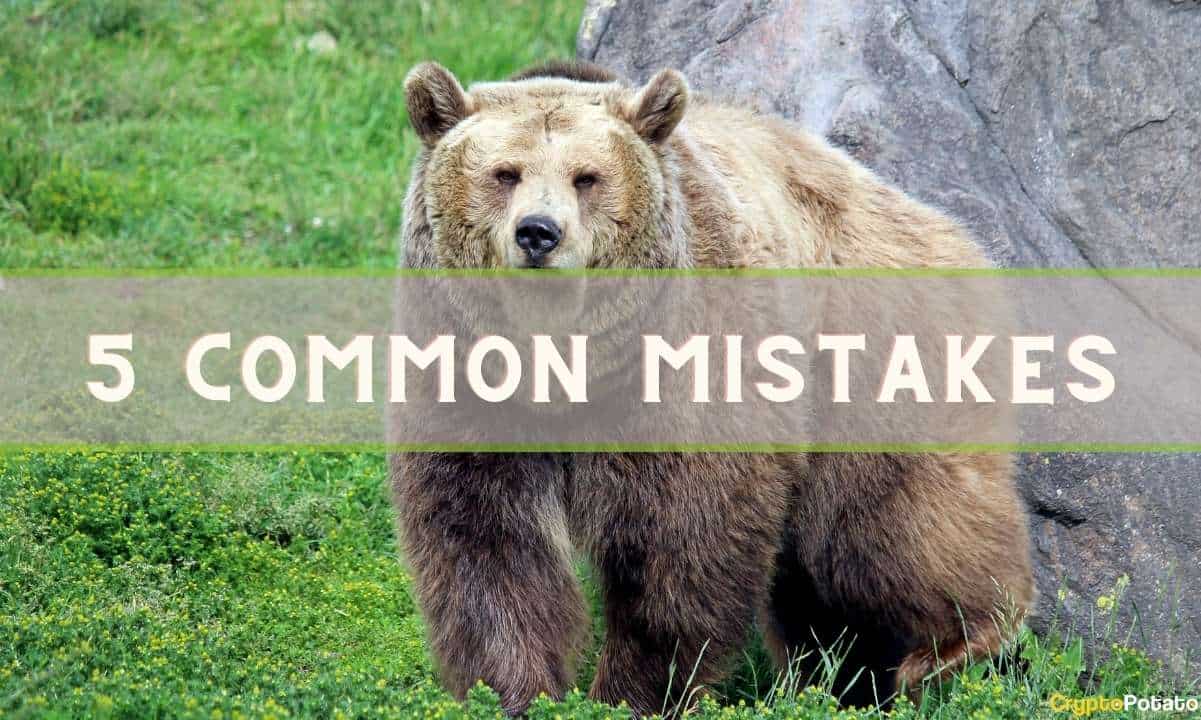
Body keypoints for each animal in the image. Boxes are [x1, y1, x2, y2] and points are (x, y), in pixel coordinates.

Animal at [391, 59, 1035, 715]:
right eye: (505, 173)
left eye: (587, 177)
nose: (538, 233)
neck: (566, 361)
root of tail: (942, 225)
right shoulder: (466, 377)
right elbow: (487, 542)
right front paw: (514, 690)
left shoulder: (683, 367)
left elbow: (683, 536)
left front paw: (636, 692)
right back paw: (840, 677)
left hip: (871, 351)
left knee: (889, 524)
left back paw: (954, 645)